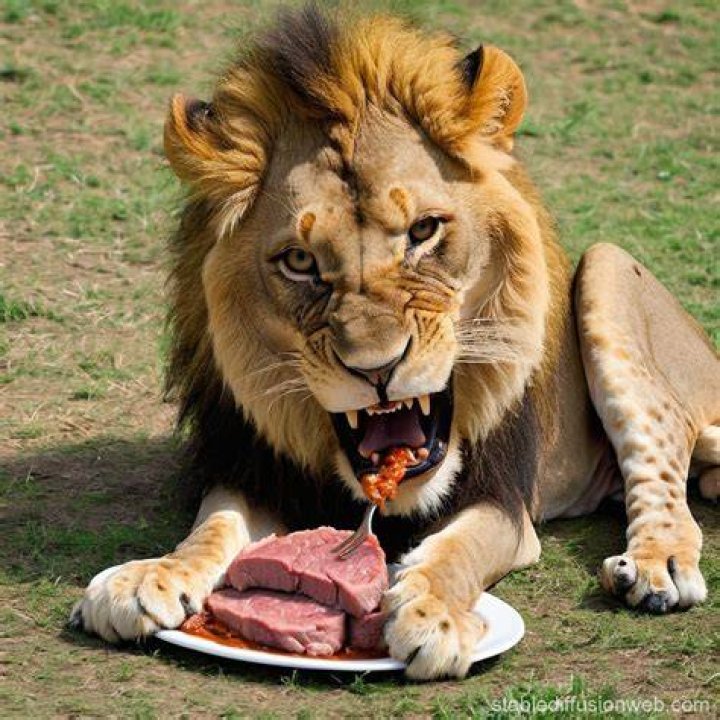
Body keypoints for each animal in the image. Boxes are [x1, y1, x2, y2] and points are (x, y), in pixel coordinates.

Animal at [71, 6, 720, 679]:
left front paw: (431, 612)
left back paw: (655, 568)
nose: (376, 368)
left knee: (660, 468)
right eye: (299, 261)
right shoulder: (250, 468)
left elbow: (458, 548)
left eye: (423, 230)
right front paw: (149, 576)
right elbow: (214, 526)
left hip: (609, 268)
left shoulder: (505, 504)